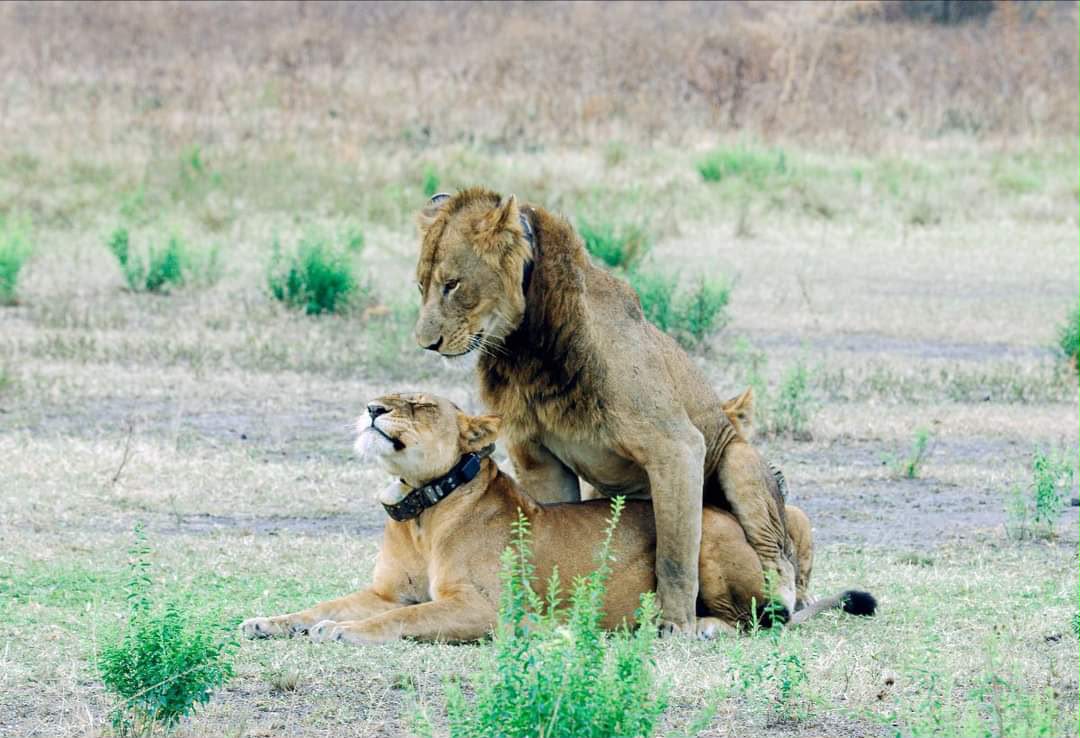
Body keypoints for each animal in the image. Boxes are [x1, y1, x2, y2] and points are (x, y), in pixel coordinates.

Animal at [240, 392, 876, 645]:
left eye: (417, 406)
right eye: (382, 396)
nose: (372, 409)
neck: (419, 510)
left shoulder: (482, 608)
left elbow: (399, 620)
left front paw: (340, 631)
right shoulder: (386, 591)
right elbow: (323, 604)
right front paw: (268, 621)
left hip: (706, 534)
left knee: (757, 620)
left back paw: (698, 628)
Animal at [412, 187, 796, 633]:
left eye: (452, 285)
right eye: (420, 285)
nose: (426, 344)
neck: (525, 351)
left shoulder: (677, 445)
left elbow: (675, 552)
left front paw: (676, 623)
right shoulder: (537, 456)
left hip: (738, 461)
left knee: (780, 562)